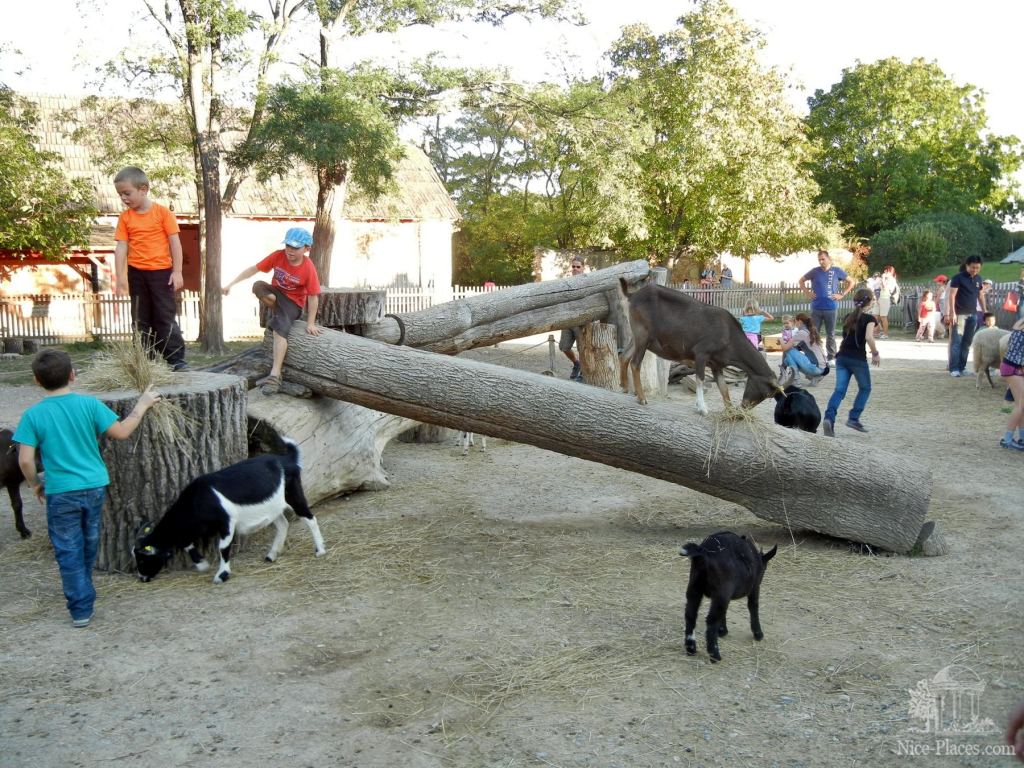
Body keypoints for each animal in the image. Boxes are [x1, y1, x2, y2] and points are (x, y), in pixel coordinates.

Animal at [132, 442, 323, 585]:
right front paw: (202, 564)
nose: (142, 578)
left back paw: (320, 550)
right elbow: (187, 543)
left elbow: (223, 548)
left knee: (309, 518)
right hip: (273, 506)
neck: (198, 499)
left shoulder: (226, 522)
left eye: (142, 559)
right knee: (283, 524)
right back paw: (271, 555)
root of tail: (287, 459)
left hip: (293, 493)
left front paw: (221, 575)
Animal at [618, 280, 778, 415]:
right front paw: (702, 408)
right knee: (635, 363)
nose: (744, 406)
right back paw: (642, 398)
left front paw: (730, 410)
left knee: (624, 356)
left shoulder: (716, 365)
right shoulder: (701, 353)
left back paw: (624, 387)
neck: (729, 333)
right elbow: (700, 379)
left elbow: (723, 387)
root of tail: (632, 295)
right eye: (767, 393)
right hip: (642, 335)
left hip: (637, 337)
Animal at [679, 532, 774, 663]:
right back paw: (714, 654)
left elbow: (723, 613)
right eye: (765, 568)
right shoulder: (754, 587)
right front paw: (758, 634)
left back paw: (691, 648)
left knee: (690, 614)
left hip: (695, 585)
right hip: (722, 590)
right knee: (711, 620)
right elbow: (753, 606)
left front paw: (722, 631)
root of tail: (704, 551)